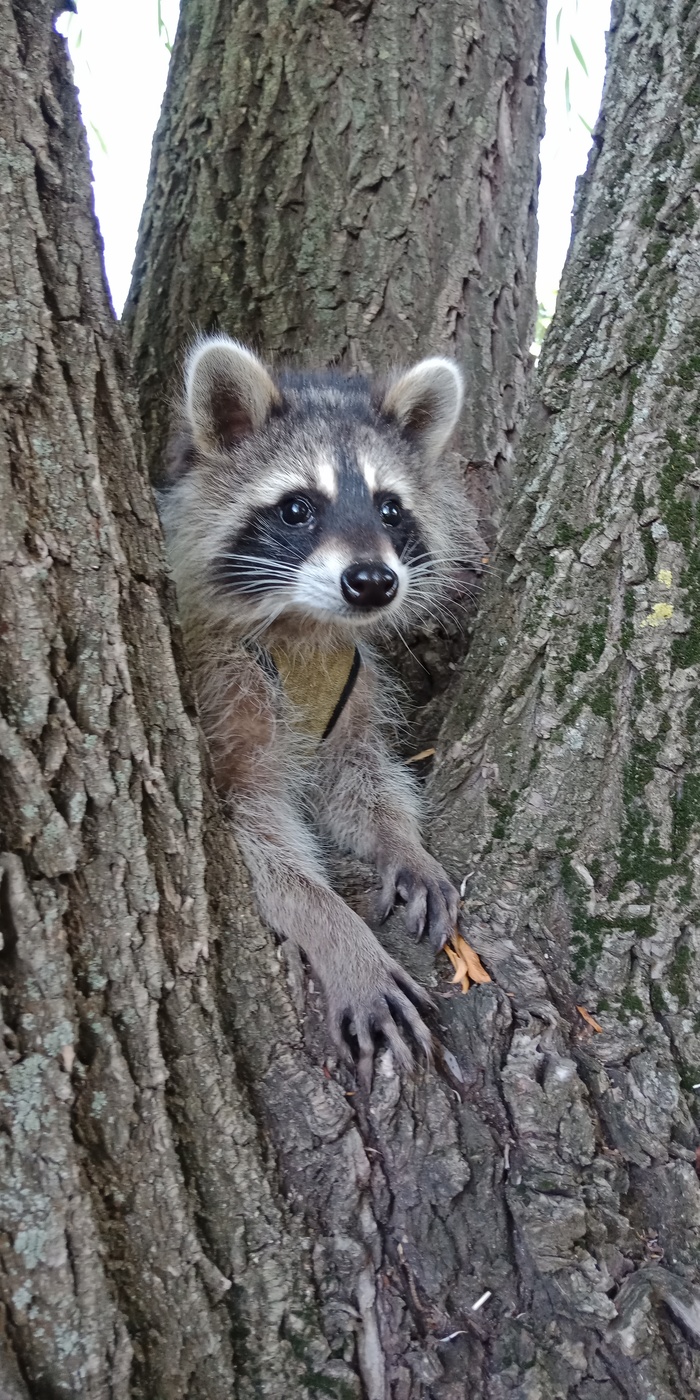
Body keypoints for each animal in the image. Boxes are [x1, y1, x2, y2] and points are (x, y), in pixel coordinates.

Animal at [162, 336, 470, 1080]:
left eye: (390, 510)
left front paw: (402, 841)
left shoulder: (353, 683)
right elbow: (257, 829)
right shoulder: (220, 679)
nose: (374, 582)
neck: (306, 624)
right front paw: (335, 930)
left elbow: (358, 774)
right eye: (297, 508)